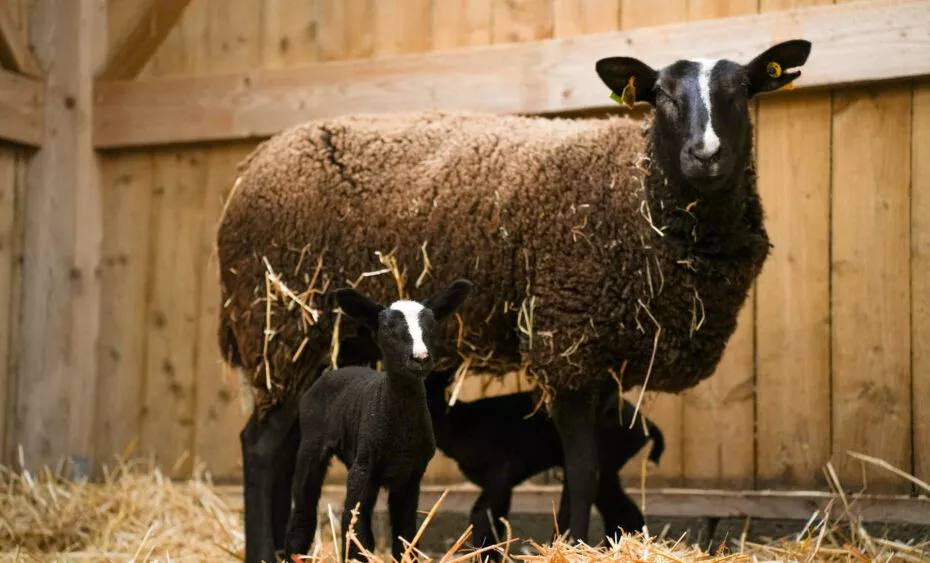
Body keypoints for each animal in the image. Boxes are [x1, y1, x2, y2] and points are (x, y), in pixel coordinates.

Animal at [283, 280, 472, 561]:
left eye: (432, 326)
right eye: (386, 329)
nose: (420, 358)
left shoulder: (411, 475)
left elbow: (405, 535)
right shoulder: (363, 469)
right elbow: (356, 532)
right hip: (311, 445)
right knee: (302, 514)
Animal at [423, 367, 664, 555]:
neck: (458, 423)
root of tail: (645, 423)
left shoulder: (501, 473)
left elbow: (484, 516)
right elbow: (492, 518)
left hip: (606, 463)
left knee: (621, 511)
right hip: (610, 469)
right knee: (623, 512)